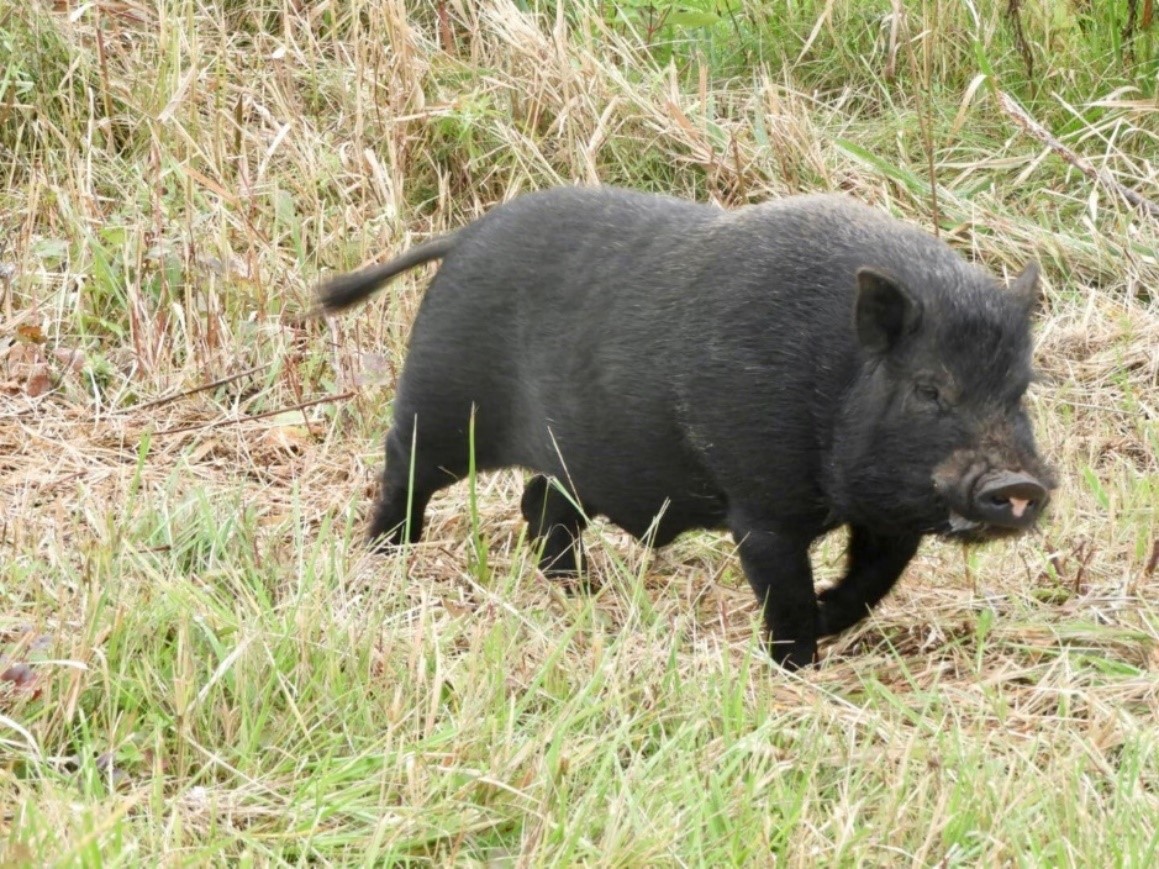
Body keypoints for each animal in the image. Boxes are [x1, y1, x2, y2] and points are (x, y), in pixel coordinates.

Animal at [315, 187, 1052, 672]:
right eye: (929, 388)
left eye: (1020, 388)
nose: (1017, 483)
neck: (836, 378)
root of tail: (464, 237)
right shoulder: (759, 506)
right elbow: (783, 592)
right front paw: (795, 664)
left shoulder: (886, 519)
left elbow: (870, 584)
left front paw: (825, 619)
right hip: (441, 408)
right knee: (402, 469)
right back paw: (386, 557)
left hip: (576, 460)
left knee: (540, 501)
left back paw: (581, 590)